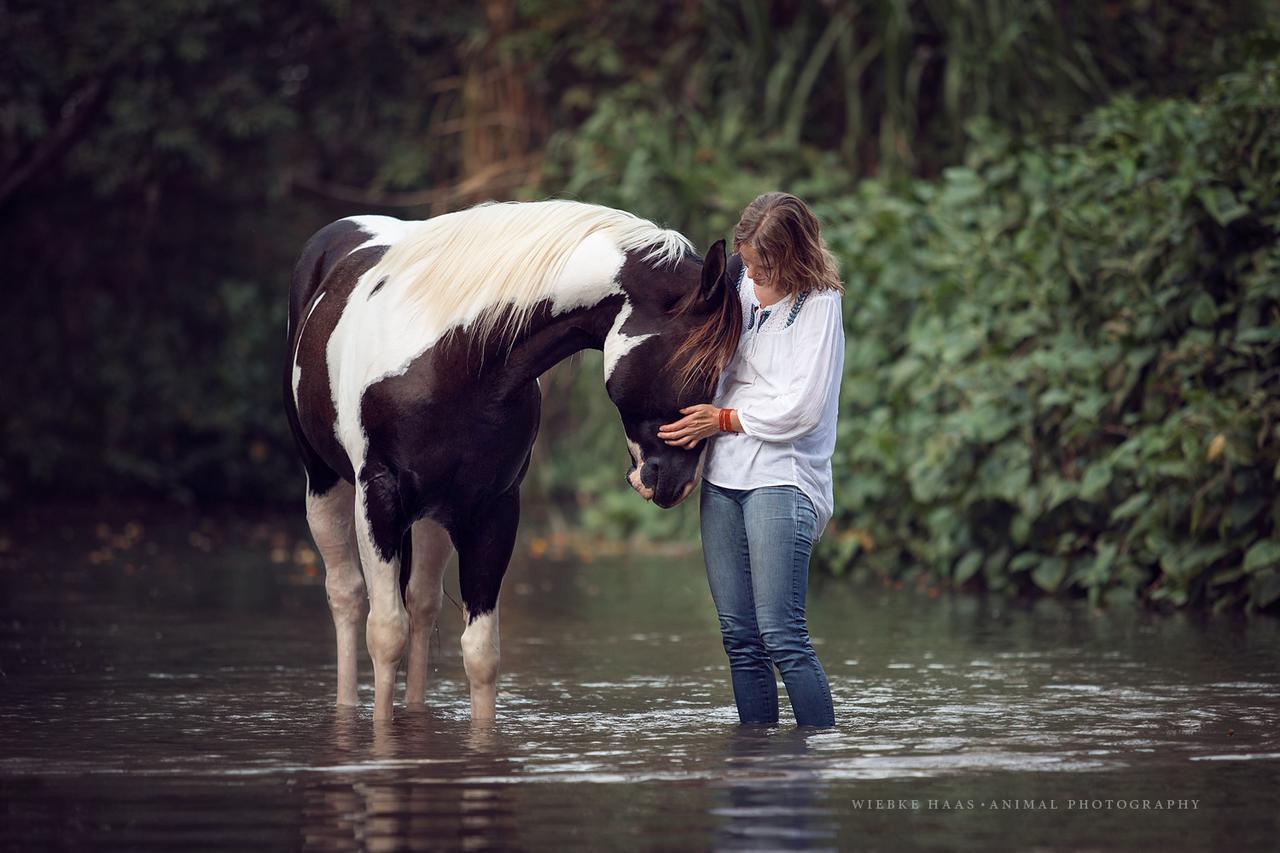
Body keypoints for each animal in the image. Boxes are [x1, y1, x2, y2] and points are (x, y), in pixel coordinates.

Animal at [279, 197, 742, 717]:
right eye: (699, 368)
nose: (674, 483)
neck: (456, 358)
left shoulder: (493, 509)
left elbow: (480, 653)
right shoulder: (377, 499)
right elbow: (385, 635)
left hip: (435, 514)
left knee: (421, 603)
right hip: (325, 486)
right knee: (347, 597)